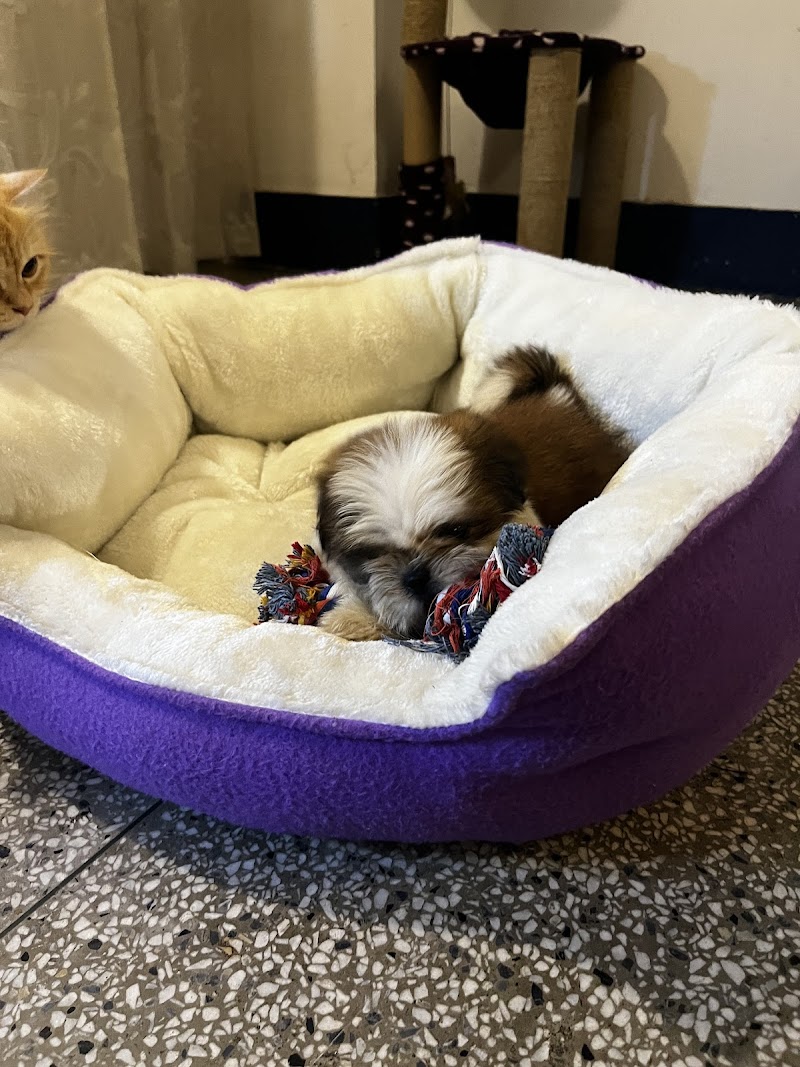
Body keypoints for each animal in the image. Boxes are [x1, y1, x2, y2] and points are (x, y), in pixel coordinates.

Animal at [315, 346, 631, 642]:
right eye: (373, 554)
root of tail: (559, 395)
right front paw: (354, 616)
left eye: (456, 531)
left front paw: (351, 620)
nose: (415, 576)